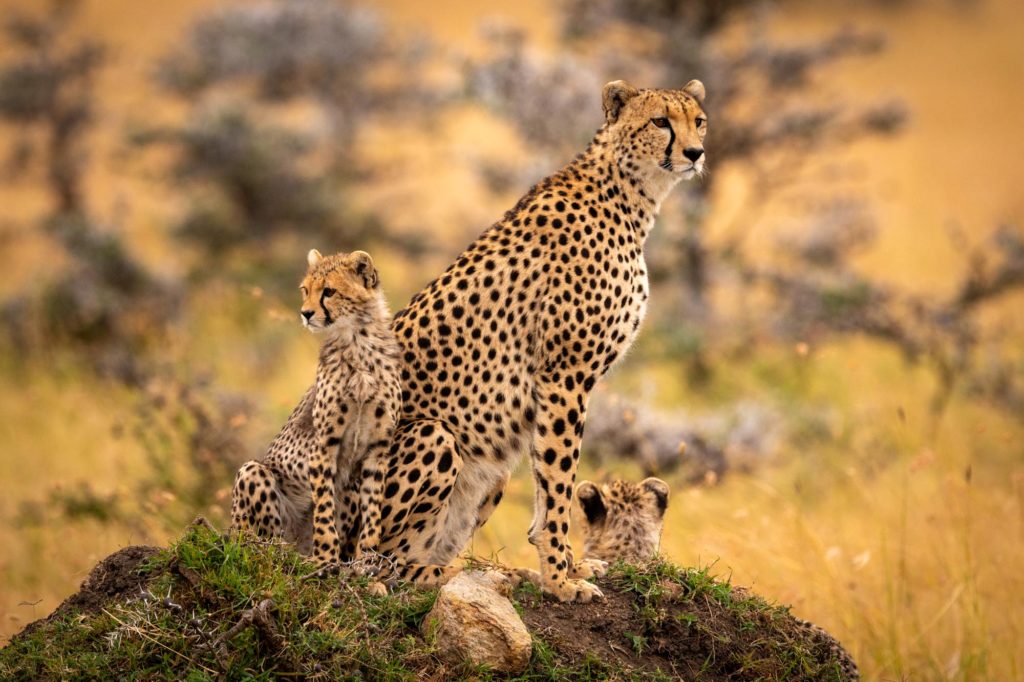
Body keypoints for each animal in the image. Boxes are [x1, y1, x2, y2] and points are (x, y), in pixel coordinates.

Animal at [230, 249, 401, 569]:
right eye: (305, 290)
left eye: (329, 291)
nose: (305, 313)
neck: (358, 341)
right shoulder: (323, 444)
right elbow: (323, 508)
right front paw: (325, 558)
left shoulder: (377, 448)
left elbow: (373, 507)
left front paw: (368, 557)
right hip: (253, 476)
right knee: (259, 543)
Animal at [355, 78, 710, 602]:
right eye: (660, 121)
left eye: (698, 121)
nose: (694, 152)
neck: (630, 193)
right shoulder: (565, 376)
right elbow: (560, 478)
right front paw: (561, 580)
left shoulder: (555, 386)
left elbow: (547, 481)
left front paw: (567, 569)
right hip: (433, 437)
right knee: (383, 565)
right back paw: (470, 575)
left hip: (491, 469)